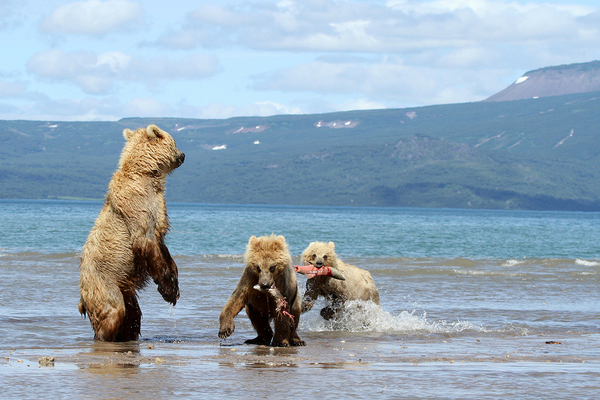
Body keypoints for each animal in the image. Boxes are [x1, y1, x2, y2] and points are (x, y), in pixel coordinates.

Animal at [78, 124, 185, 340]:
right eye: (175, 142)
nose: (183, 155)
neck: (148, 175)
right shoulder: (137, 205)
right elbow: (145, 241)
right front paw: (168, 289)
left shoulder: (157, 207)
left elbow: (161, 244)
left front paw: (175, 283)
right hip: (103, 283)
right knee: (113, 311)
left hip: (125, 288)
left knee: (133, 315)